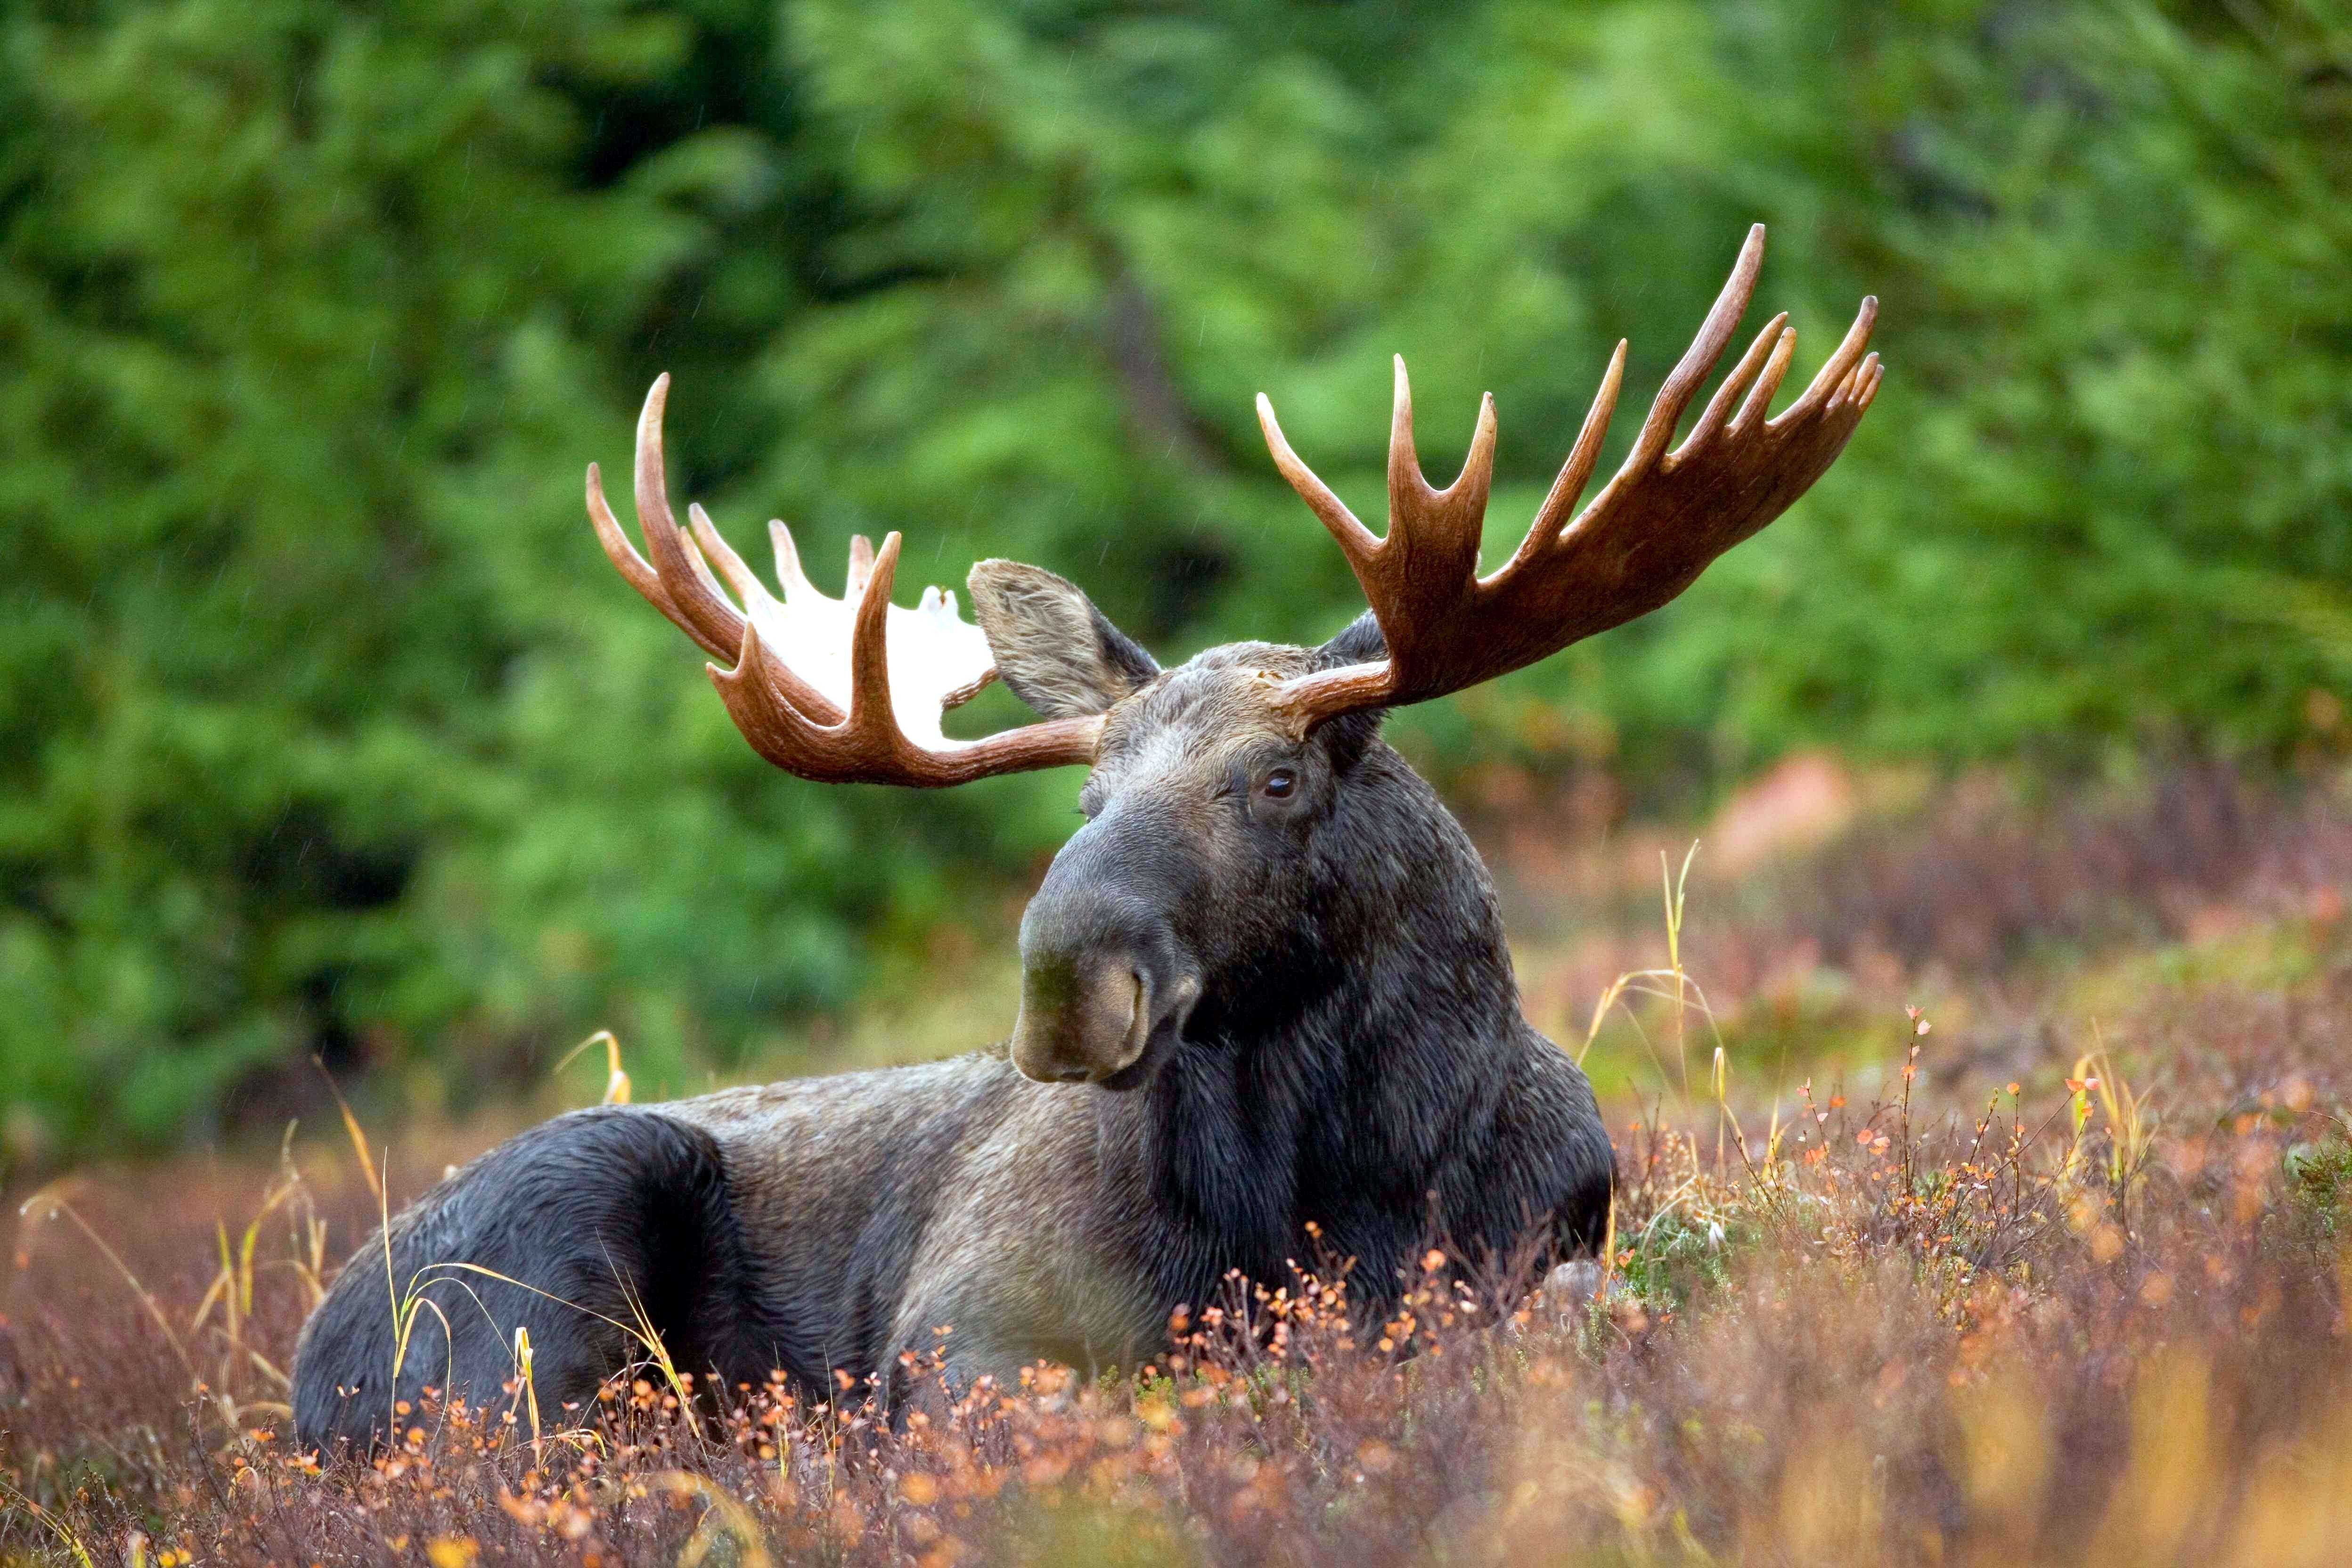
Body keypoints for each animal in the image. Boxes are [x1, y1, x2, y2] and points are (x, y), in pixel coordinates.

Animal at [294, 221, 1881, 1448]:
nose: (1066, 980)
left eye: (1276, 779)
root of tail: (308, 1367)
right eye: (1084, 797)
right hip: (548, 1261)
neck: (1340, 1188)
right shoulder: (962, 1330)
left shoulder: (1546, 1246)